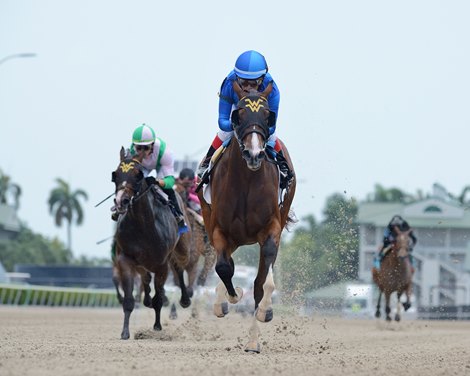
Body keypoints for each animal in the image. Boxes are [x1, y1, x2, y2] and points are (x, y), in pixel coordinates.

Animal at [112, 148, 191, 340]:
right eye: (115, 174)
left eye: (137, 175)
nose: (121, 201)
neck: (144, 226)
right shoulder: (125, 259)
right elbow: (129, 300)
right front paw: (125, 332)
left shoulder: (162, 264)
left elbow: (159, 298)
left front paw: (157, 326)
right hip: (142, 262)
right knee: (146, 278)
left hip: (181, 248)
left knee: (179, 268)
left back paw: (185, 299)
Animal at [197, 83, 294, 352]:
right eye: (238, 115)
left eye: (267, 115)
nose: (254, 154)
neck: (247, 182)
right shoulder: (219, 229)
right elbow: (223, 267)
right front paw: (230, 297)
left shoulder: (271, 229)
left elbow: (262, 284)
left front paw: (264, 312)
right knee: (225, 263)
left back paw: (252, 340)